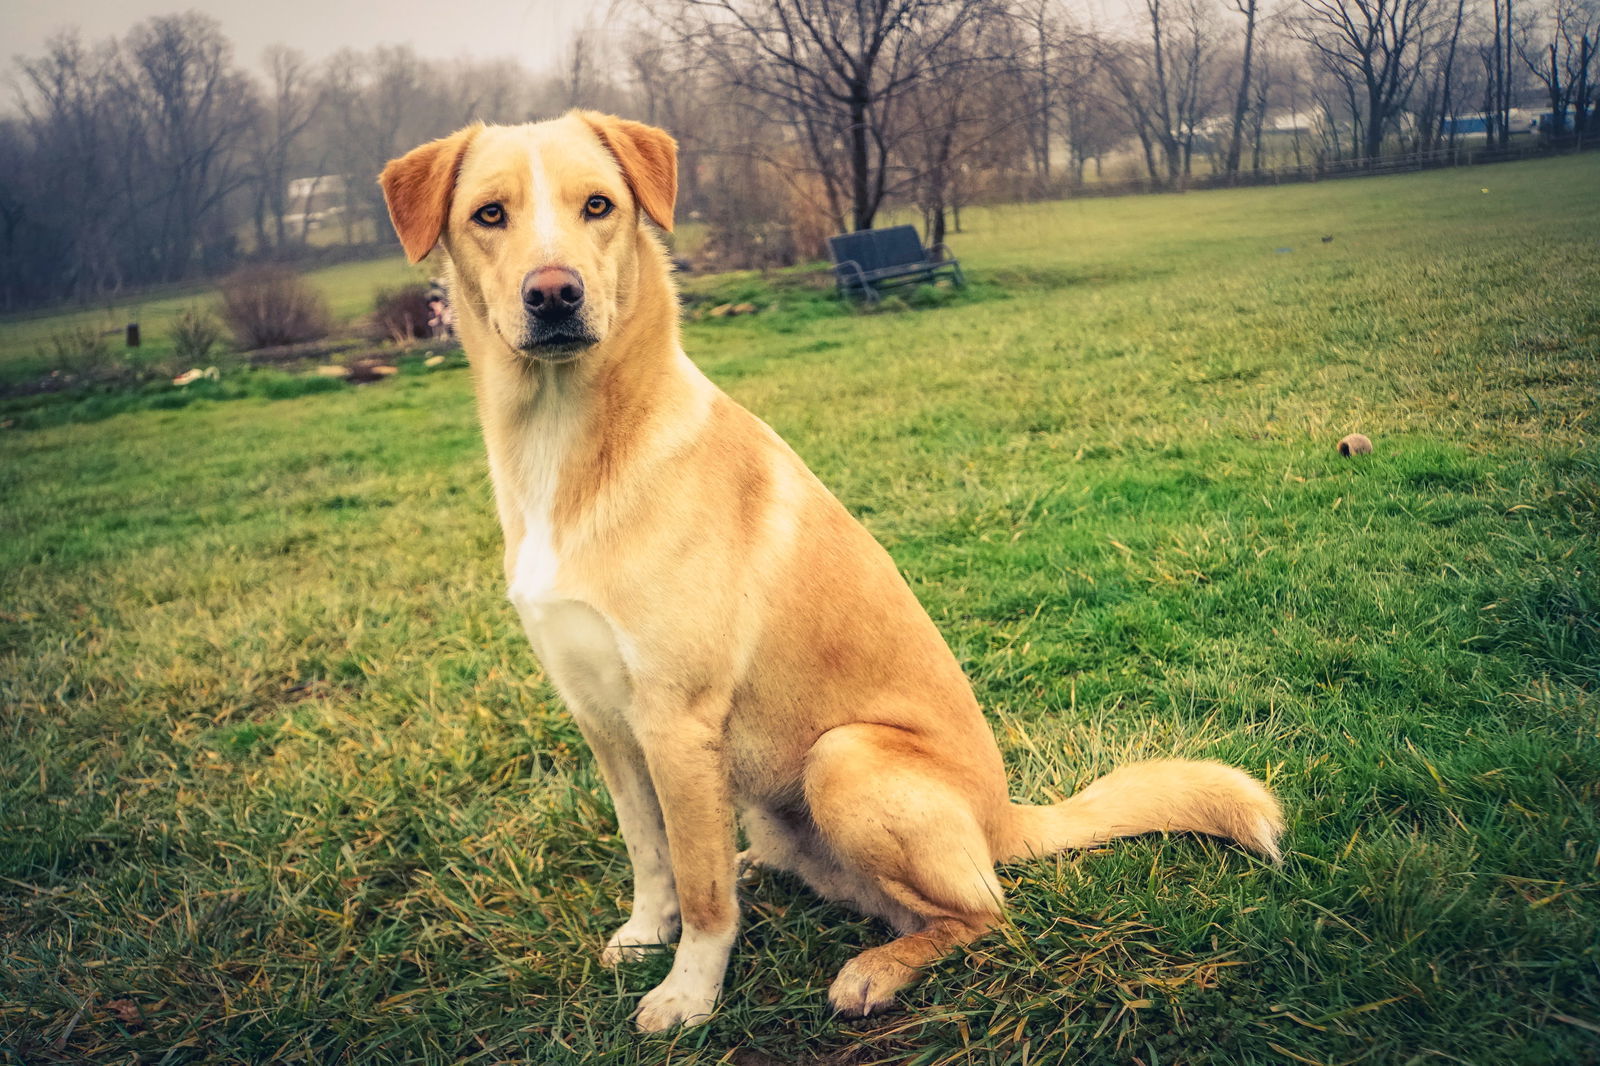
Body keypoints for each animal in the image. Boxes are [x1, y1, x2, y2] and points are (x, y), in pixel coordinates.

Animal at [377, 112, 1286, 1024]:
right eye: (490, 215)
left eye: (597, 205)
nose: (554, 293)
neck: (569, 447)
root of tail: (1006, 818)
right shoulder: (603, 720)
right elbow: (652, 852)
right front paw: (644, 934)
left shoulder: (676, 721)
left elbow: (701, 889)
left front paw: (690, 991)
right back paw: (766, 868)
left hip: (843, 758)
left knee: (983, 911)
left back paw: (877, 969)